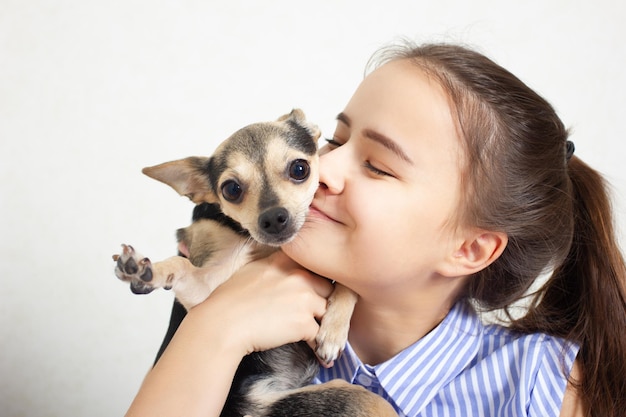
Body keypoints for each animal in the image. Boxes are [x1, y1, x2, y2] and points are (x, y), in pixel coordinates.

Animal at [112, 109, 394, 416]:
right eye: (231, 190)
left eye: (299, 169)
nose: (273, 218)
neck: (261, 246)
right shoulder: (203, 292)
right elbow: (181, 265)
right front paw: (147, 270)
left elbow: (347, 280)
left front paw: (333, 329)